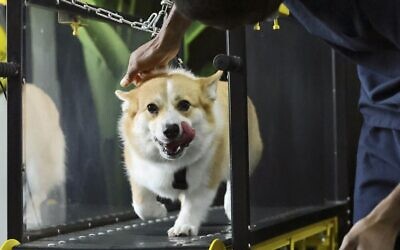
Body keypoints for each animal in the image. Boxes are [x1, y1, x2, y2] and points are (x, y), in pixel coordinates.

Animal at [116, 68, 262, 236]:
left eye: (184, 104)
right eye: (151, 107)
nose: (171, 130)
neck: (171, 163)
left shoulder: (205, 178)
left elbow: (193, 204)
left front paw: (183, 226)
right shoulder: (138, 171)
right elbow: (141, 205)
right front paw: (159, 211)